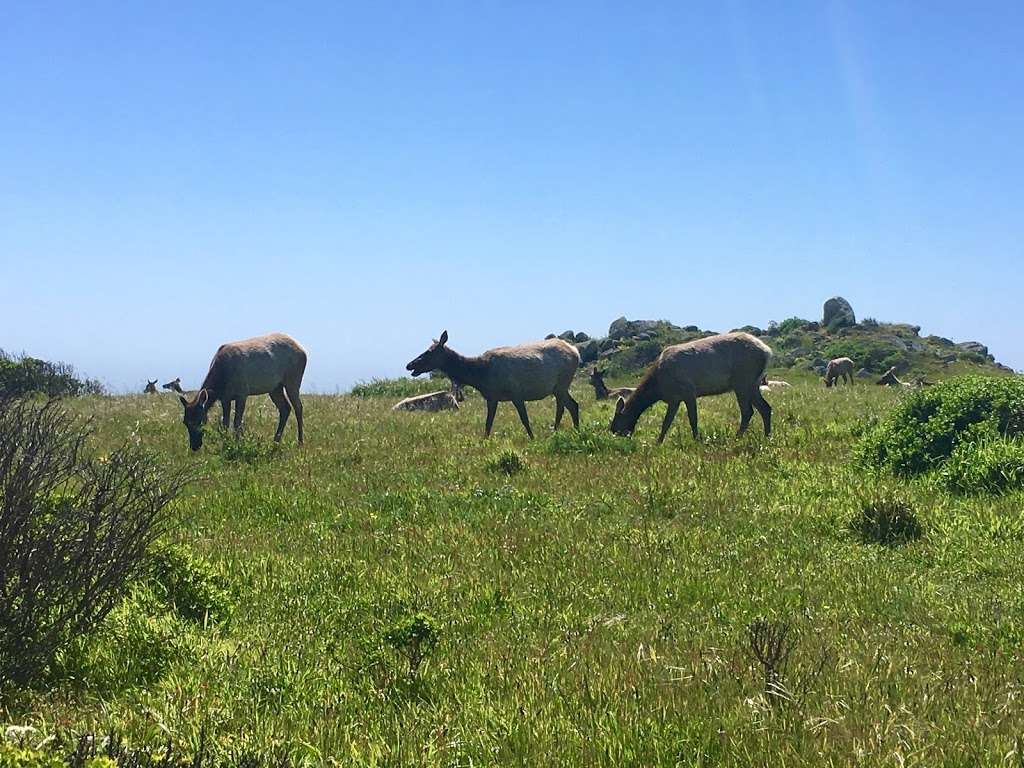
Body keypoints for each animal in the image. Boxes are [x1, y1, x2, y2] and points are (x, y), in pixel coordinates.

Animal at [405, 331, 581, 438]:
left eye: (429, 352)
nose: (409, 365)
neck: (480, 376)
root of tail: (576, 352)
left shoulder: (516, 393)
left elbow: (524, 419)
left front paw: (532, 438)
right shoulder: (492, 397)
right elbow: (488, 423)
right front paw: (484, 441)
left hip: (562, 383)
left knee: (568, 406)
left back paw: (566, 431)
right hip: (559, 387)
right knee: (569, 406)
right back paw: (567, 431)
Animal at [606, 331, 770, 444]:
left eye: (616, 423)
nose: (614, 434)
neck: (658, 386)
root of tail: (767, 352)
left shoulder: (688, 391)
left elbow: (693, 419)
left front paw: (697, 440)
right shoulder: (674, 398)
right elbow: (666, 422)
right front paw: (658, 442)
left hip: (743, 380)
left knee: (748, 411)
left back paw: (737, 438)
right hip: (753, 383)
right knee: (765, 408)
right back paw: (767, 437)